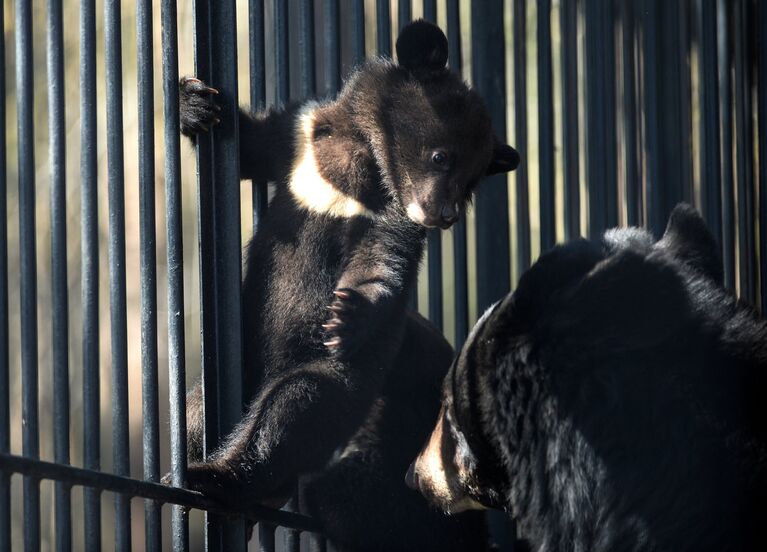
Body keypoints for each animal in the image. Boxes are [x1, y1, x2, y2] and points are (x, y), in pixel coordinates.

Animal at [177, 20, 520, 512]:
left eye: (471, 182)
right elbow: (253, 143)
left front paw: (345, 315)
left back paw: (216, 477)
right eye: (441, 156)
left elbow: (381, 259)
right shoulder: (299, 139)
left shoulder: (391, 212)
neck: (359, 158)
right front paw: (197, 102)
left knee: (294, 407)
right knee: (197, 413)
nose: (443, 215)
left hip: (338, 379)